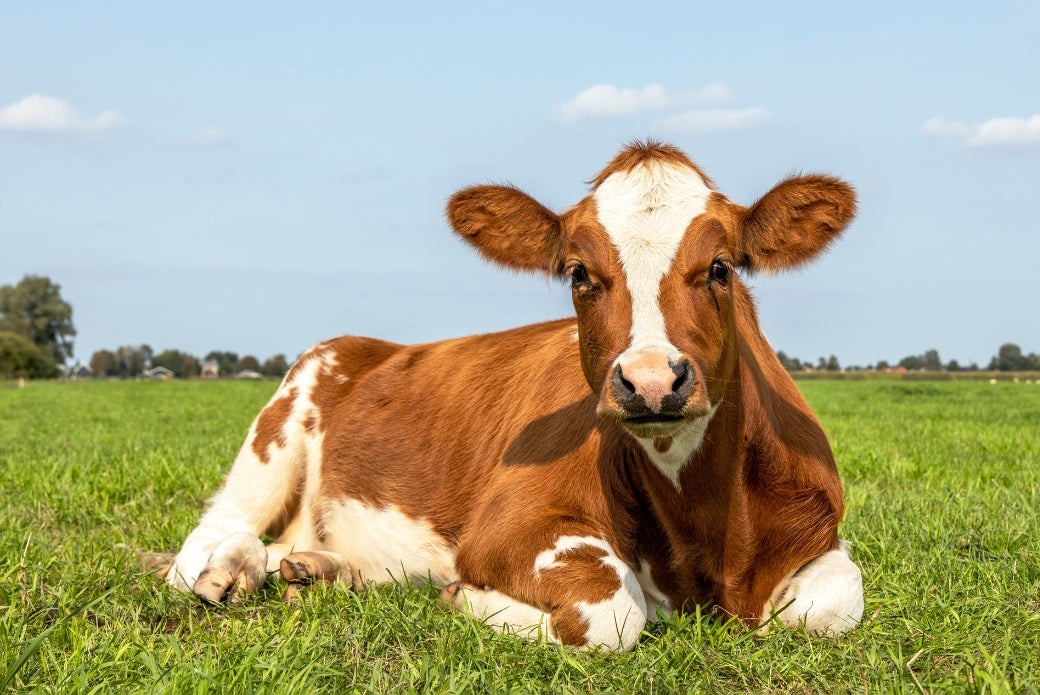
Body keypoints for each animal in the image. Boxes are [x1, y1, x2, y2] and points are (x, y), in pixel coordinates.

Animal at [165, 141, 864, 650]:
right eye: (579, 273)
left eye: (720, 267)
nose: (651, 380)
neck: (703, 540)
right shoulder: (506, 527)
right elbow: (611, 610)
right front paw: (464, 595)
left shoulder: (819, 533)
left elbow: (833, 603)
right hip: (277, 428)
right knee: (210, 538)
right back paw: (228, 570)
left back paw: (322, 571)